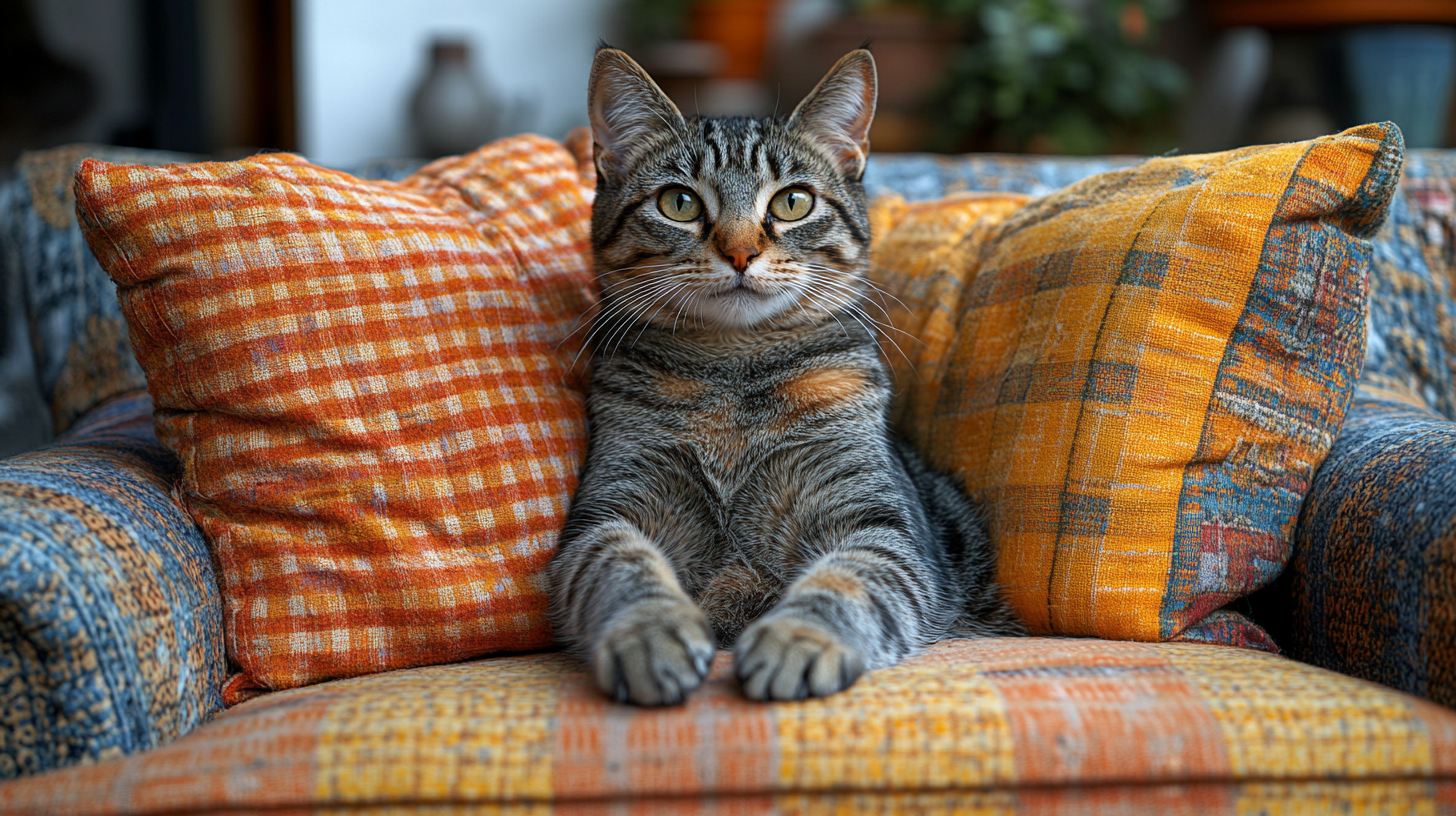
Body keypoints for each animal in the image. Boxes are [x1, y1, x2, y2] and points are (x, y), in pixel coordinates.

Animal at [547, 46, 1025, 708]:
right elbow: (620, 564)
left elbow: (848, 580)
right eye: (679, 203)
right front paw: (650, 632)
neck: (735, 369)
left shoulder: (878, 523)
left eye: (792, 202)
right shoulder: (610, 508)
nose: (740, 252)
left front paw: (799, 638)